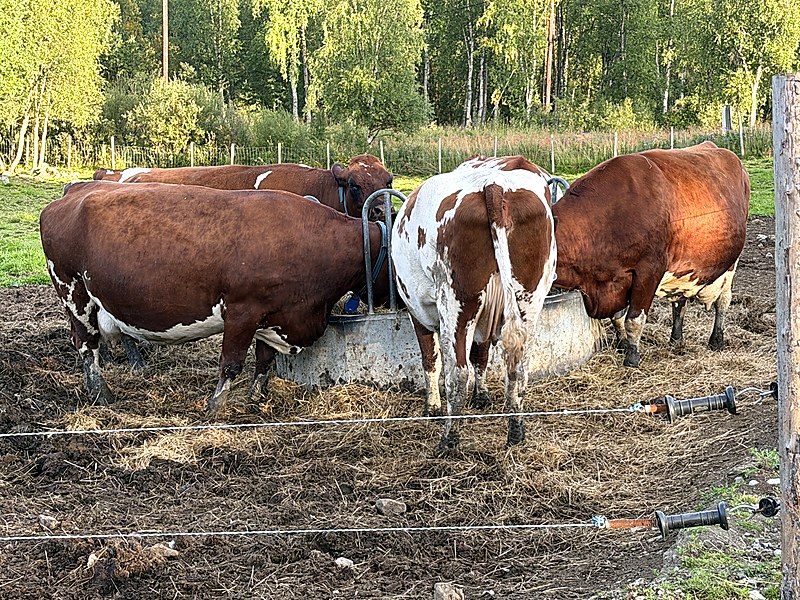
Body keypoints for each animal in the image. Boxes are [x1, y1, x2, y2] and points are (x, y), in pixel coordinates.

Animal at [40, 180, 395, 416]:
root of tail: (76, 190)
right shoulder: (242, 310)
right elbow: (231, 364)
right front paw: (214, 408)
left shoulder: (274, 315)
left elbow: (264, 361)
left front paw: (256, 399)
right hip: (74, 292)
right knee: (87, 345)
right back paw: (102, 394)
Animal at [392, 156, 557, 449]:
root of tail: (494, 185)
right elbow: (480, 355)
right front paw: (481, 396)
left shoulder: (418, 312)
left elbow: (430, 359)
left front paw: (432, 407)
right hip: (529, 300)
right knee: (518, 367)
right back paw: (516, 431)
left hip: (457, 302)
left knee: (458, 373)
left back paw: (449, 439)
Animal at [551, 141, 750, 368]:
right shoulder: (615, 281)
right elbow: (617, 317)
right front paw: (622, 345)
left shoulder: (648, 271)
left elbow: (634, 319)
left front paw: (632, 357)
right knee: (679, 302)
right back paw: (676, 339)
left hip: (731, 264)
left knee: (723, 301)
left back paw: (716, 340)